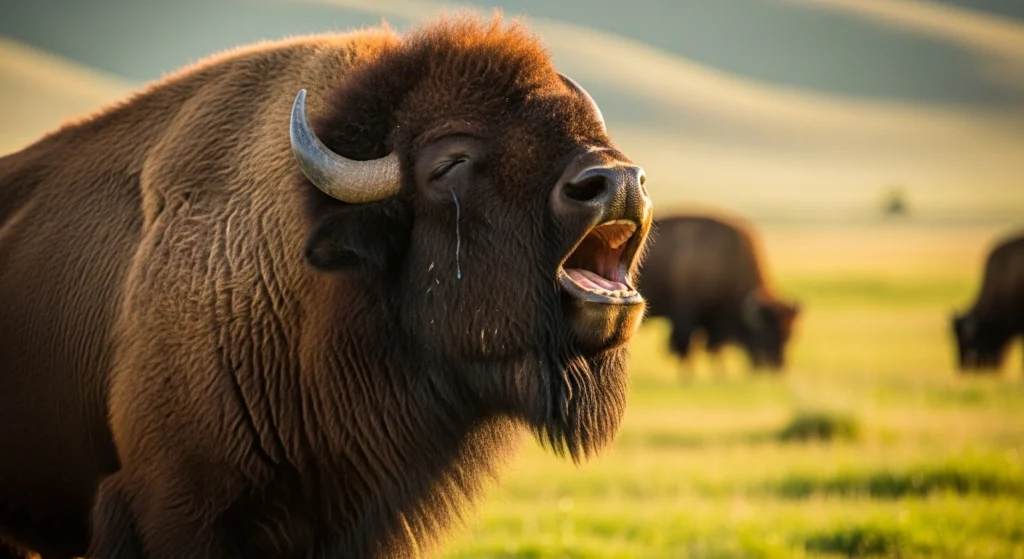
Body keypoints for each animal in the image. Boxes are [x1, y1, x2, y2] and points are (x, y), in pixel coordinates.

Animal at [638, 214, 800, 371]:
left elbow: (715, 349)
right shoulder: (687, 316)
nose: (777, 368)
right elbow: (688, 348)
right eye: (764, 335)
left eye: (790, 336)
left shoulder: (714, 323)